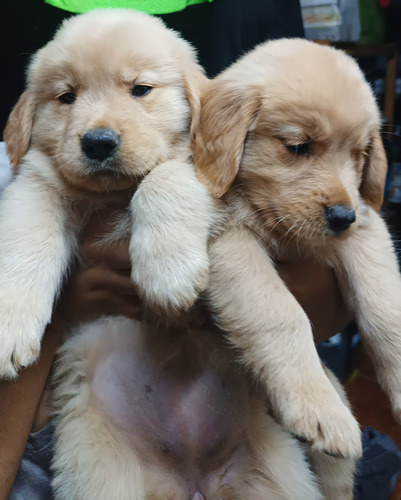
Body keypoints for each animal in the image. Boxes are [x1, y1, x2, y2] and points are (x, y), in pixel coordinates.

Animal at [0, 7, 212, 376]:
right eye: (67, 96)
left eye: (141, 89)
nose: (98, 143)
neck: (112, 192)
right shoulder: (36, 181)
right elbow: (26, 238)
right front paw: (10, 325)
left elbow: (163, 177)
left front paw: (168, 271)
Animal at [190, 37, 400, 466]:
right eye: (299, 146)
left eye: (359, 154)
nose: (341, 217)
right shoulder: (228, 240)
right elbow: (281, 314)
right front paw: (318, 406)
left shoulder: (366, 226)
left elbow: (386, 307)